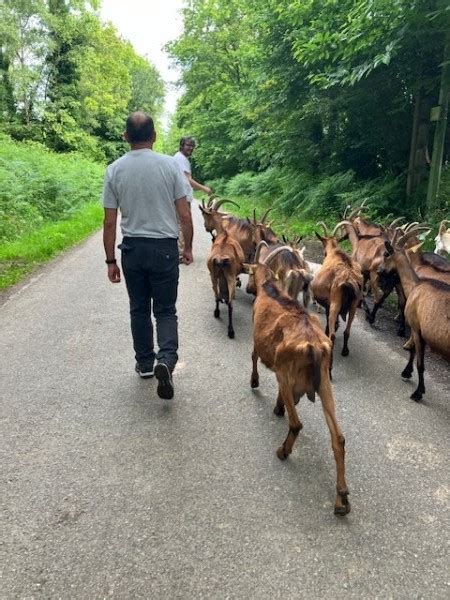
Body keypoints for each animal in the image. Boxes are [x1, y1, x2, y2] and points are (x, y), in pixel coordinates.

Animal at [248, 262, 350, 516]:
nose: (249, 288)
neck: (271, 290)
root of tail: (313, 346)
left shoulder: (257, 338)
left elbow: (253, 356)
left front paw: (254, 382)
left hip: (285, 376)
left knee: (296, 424)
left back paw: (283, 451)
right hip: (324, 386)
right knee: (339, 438)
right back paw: (342, 499)